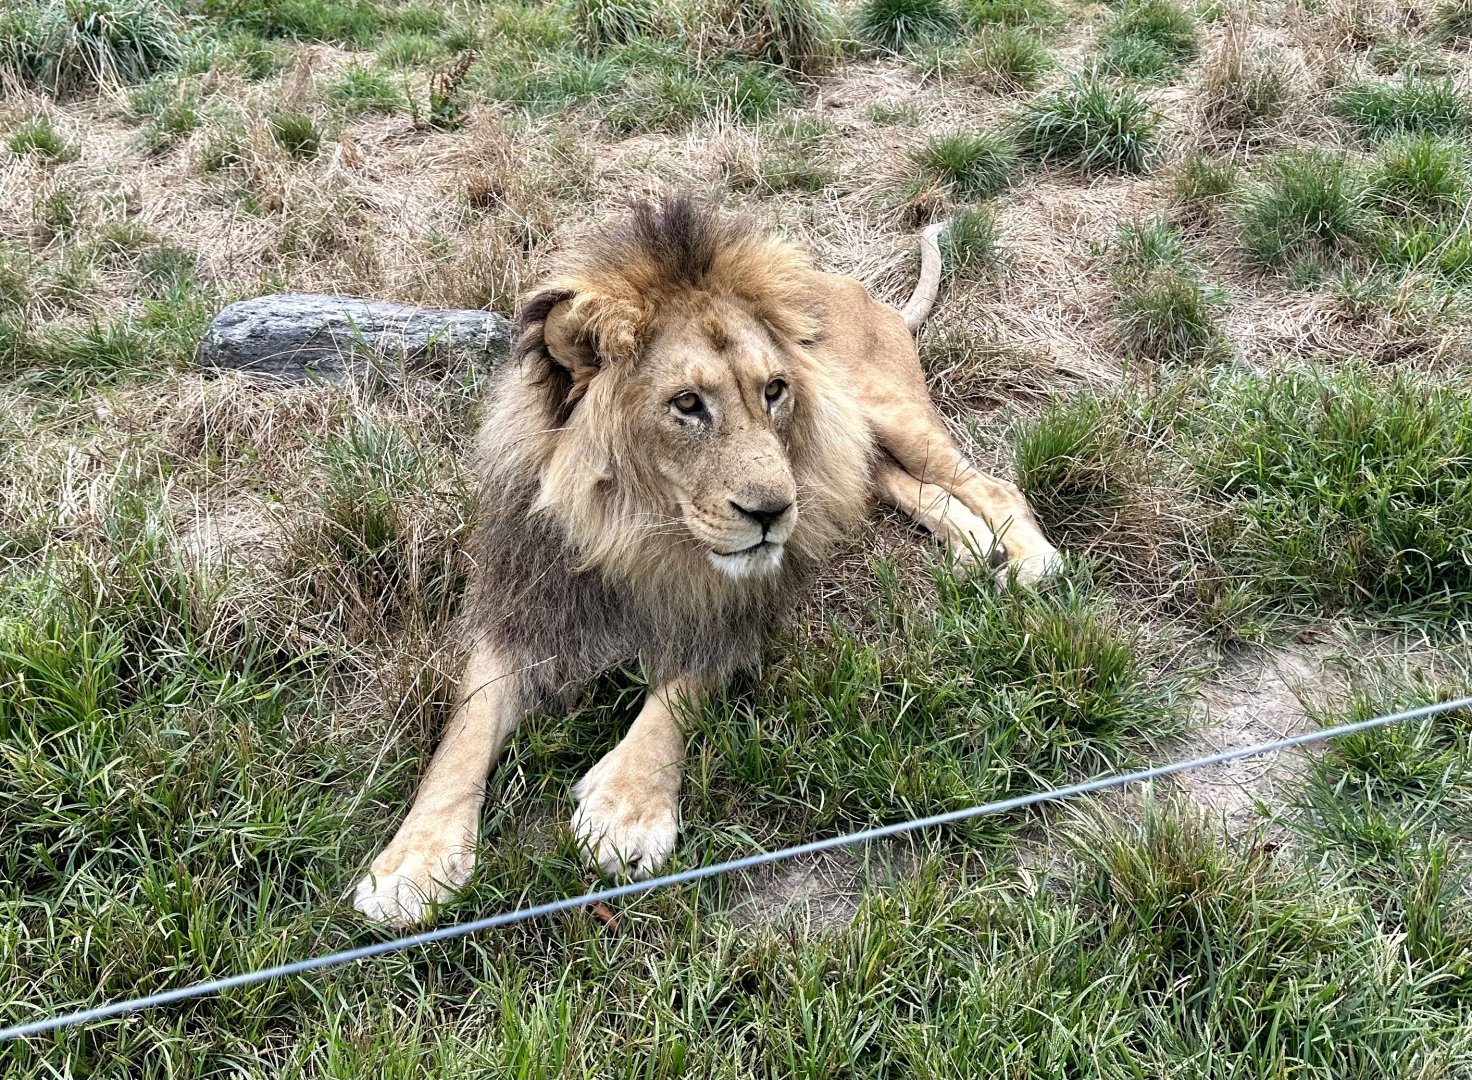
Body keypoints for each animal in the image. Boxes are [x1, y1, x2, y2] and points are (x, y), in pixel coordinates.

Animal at [353, 193, 1060, 927]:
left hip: (886, 411)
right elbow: (462, 734)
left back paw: (1030, 559)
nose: (774, 513)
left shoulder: (735, 611)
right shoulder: (525, 611)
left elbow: (675, 701)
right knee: (890, 482)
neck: (637, 535)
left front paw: (626, 810)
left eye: (774, 390)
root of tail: (855, 287)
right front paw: (411, 862)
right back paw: (974, 543)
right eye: (687, 403)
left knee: (988, 482)